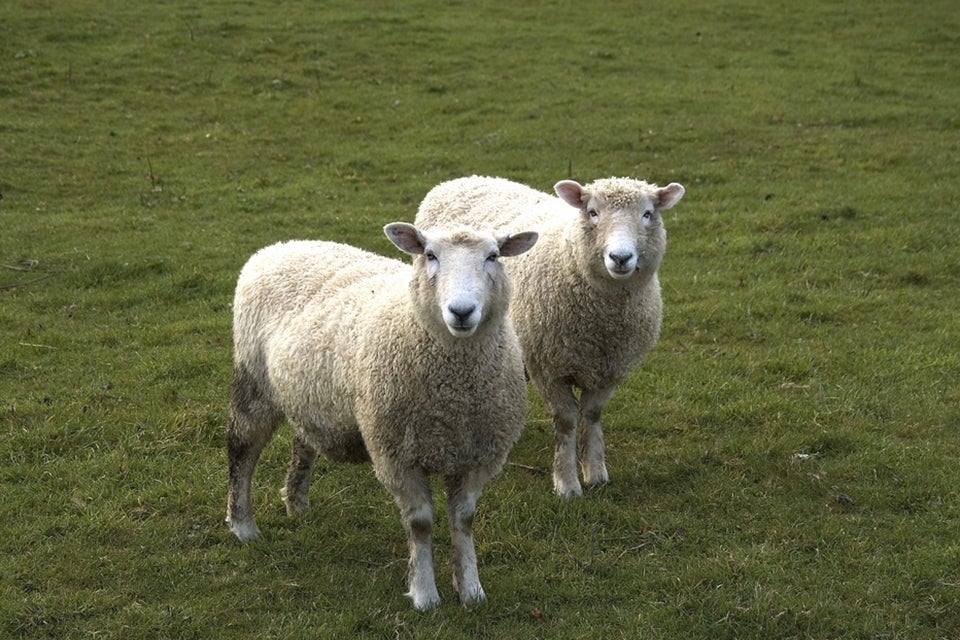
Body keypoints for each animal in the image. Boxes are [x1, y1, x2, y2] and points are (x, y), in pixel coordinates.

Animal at [225, 222, 538, 610]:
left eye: (493, 256)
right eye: (429, 255)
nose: (461, 311)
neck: (455, 388)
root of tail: (280, 246)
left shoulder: (478, 456)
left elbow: (464, 520)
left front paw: (471, 590)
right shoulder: (396, 456)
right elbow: (420, 524)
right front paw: (425, 594)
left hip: (311, 395)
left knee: (303, 443)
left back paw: (296, 504)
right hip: (253, 379)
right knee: (241, 451)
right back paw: (242, 525)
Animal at [415, 176, 685, 498]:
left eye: (647, 214)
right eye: (592, 212)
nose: (620, 258)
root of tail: (460, 180)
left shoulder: (610, 368)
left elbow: (592, 414)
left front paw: (595, 472)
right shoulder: (548, 368)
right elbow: (566, 421)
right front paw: (567, 483)